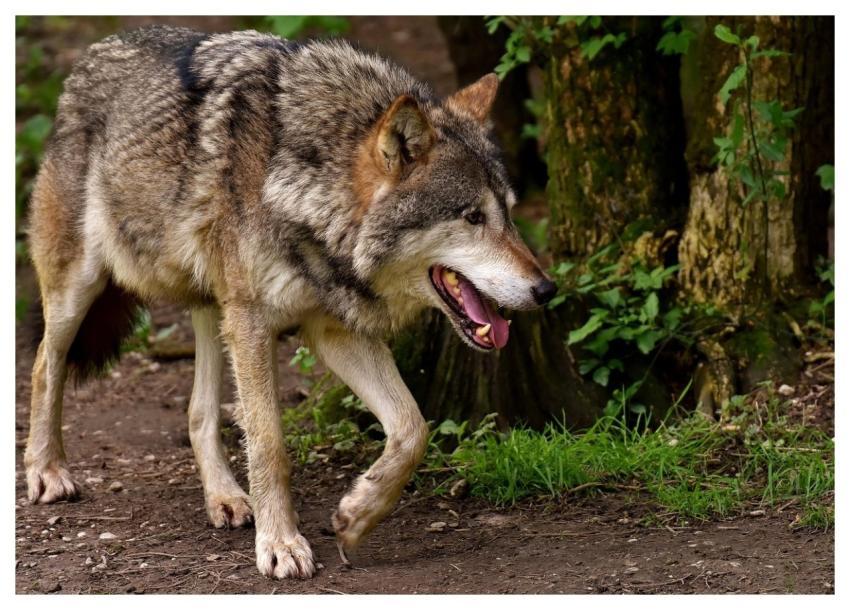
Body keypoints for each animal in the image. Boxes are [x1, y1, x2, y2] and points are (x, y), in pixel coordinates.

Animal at [24, 25, 556, 580]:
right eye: (473, 217)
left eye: (510, 214)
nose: (546, 289)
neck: (306, 189)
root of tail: (93, 53)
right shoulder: (255, 323)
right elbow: (270, 444)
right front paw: (280, 543)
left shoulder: (332, 330)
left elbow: (413, 428)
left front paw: (357, 516)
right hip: (81, 289)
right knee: (44, 365)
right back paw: (46, 471)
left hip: (214, 308)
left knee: (198, 411)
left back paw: (226, 498)